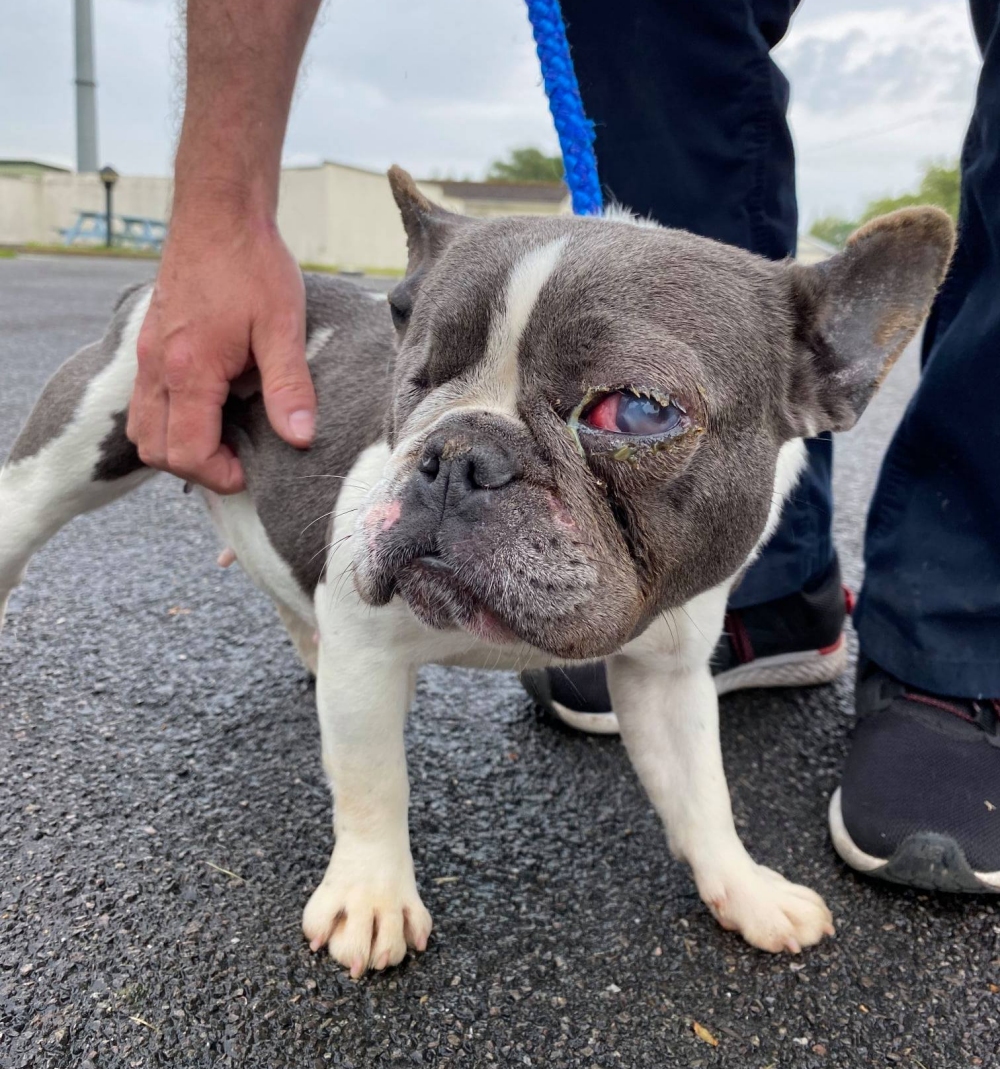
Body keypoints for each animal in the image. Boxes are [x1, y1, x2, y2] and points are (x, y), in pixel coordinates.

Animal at [0, 168, 954, 979]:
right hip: (77, 452)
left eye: (637, 410)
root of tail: (147, 292)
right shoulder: (368, 649)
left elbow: (702, 791)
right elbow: (373, 779)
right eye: (415, 377)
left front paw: (746, 889)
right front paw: (371, 896)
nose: (456, 453)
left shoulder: (667, 675)